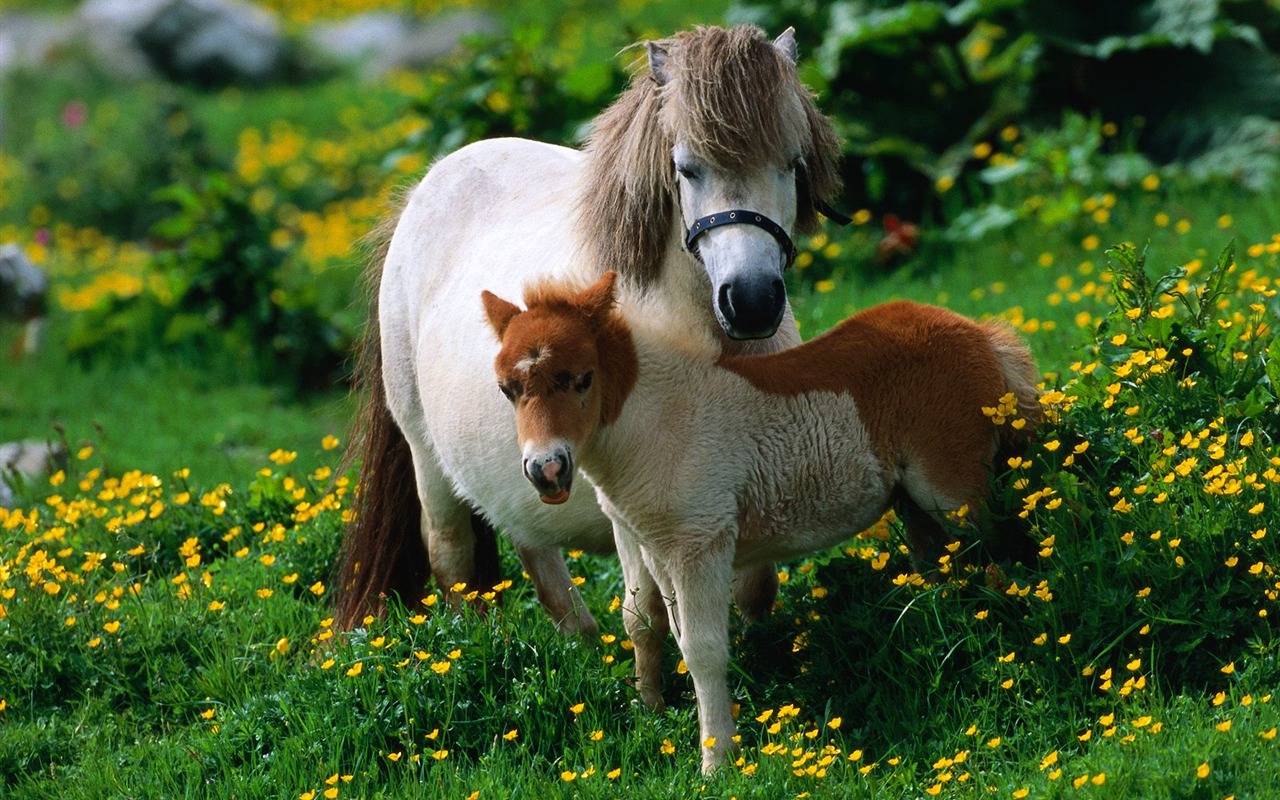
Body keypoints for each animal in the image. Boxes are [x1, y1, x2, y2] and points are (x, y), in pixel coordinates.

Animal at [335, 24, 844, 632]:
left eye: (792, 163)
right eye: (687, 168)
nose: (751, 301)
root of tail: (421, 193)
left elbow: (755, 589)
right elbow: (654, 611)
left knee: (531, 542)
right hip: (426, 457)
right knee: (452, 555)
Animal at [481, 271, 1039, 773]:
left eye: (582, 378)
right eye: (507, 390)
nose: (546, 470)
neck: (658, 420)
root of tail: (979, 332)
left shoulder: (701, 543)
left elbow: (704, 649)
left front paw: (717, 761)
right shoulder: (657, 548)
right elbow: (663, 630)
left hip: (953, 491)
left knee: (1009, 546)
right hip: (914, 503)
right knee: (943, 564)